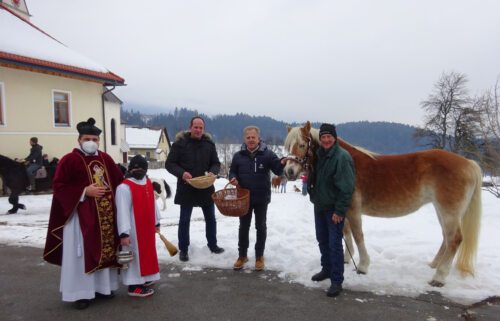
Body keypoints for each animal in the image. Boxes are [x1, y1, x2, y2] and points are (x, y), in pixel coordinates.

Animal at [286, 122, 484, 284]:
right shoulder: (341, 209)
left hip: (449, 212)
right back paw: (434, 265)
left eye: (302, 145)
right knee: (446, 237)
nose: (289, 171)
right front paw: (346, 258)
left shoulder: (353, 209)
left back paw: (439, 277)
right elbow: (346, 233)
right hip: (441, 210)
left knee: (455, 239)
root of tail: (469, 163)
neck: (345, 161)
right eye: (288, 146)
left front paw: (363, 266)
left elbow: (358, 235)